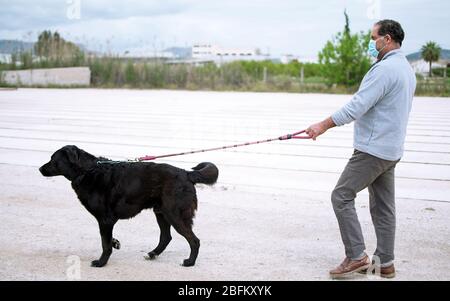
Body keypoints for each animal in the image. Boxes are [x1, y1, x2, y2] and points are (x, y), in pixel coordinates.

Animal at [39, 145, 219, 264]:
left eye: (53, 160)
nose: (40, 169)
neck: (86, 170)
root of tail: (187, 173)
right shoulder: (106, 221)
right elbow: (107, 238)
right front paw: (115, 243)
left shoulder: (105, 219)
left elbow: (105, 244)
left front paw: (101, 262)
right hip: (161, 212)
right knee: (166, 237)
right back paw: (153, 254)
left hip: (174, 214)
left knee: (194, 240)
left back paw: (190, 262)